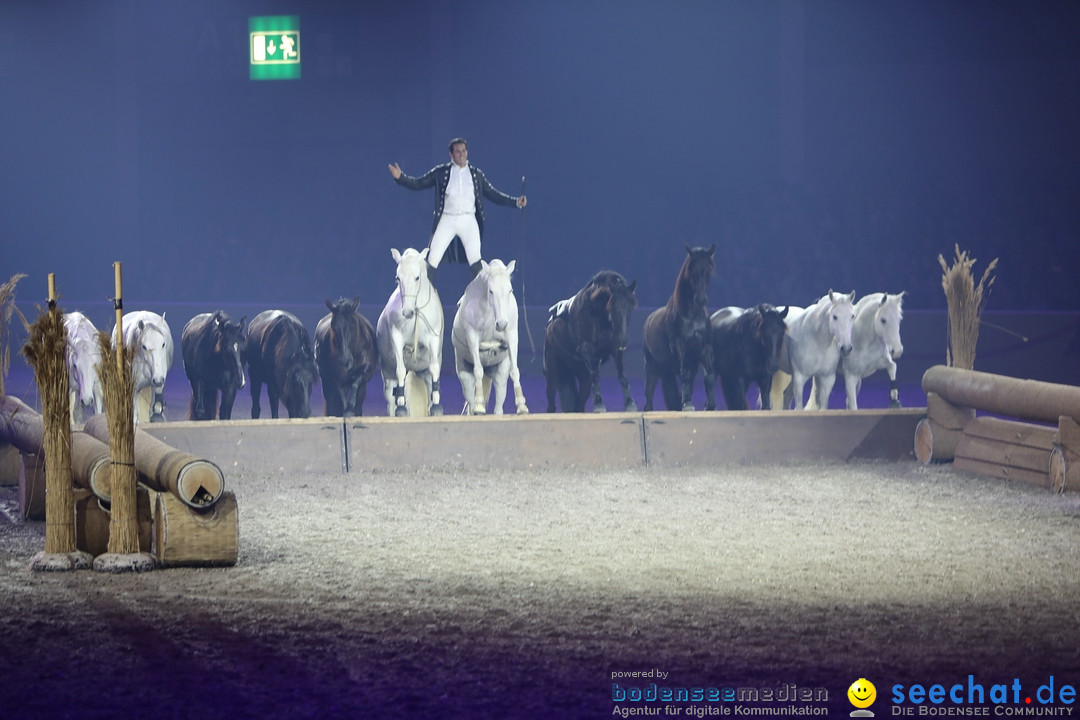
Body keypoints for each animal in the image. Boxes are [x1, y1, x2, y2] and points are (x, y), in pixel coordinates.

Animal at [375, 248, 442, 416]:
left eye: (417, 277)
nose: (407, 312)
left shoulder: (433, 338)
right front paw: (401, 406)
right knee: (391, 396)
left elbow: (434, 368)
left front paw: (437, 406)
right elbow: (400, 370)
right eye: (398, 278)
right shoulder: (397, 338)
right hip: (387, 373)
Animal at [449, 259, 529, 416]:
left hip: (499, 374)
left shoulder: (511, 336)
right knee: (470, 395)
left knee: (499, 401)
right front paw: (480, 405)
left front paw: (522, 405)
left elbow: (515, 371)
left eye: (510, 290)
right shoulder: (473, 337)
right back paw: (476, 408)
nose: (501, 324)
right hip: (464, 374)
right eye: (491, 291)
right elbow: (478, 370)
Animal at [544, 269, 635, 414]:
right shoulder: (587, 350)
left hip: (582, 377)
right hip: (552, 372)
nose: (623, 341)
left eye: (630, 307)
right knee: (551, 401)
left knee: (579, 406)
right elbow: (595, 377)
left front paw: (630, 404)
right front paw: (599, 406)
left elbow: (623, 376)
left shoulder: (616, 350)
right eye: (612, 306)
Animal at [639, 245, 717, 410]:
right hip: (652, 367)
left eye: (708, 271)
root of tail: (648, 320)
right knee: (649, 393)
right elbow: (684, 373)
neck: (692, 315)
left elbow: (709, 375)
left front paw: (711, 405)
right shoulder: (678, 344)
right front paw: (688, 404)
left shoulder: (705, 347)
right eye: (692, 271)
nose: (701, 299)